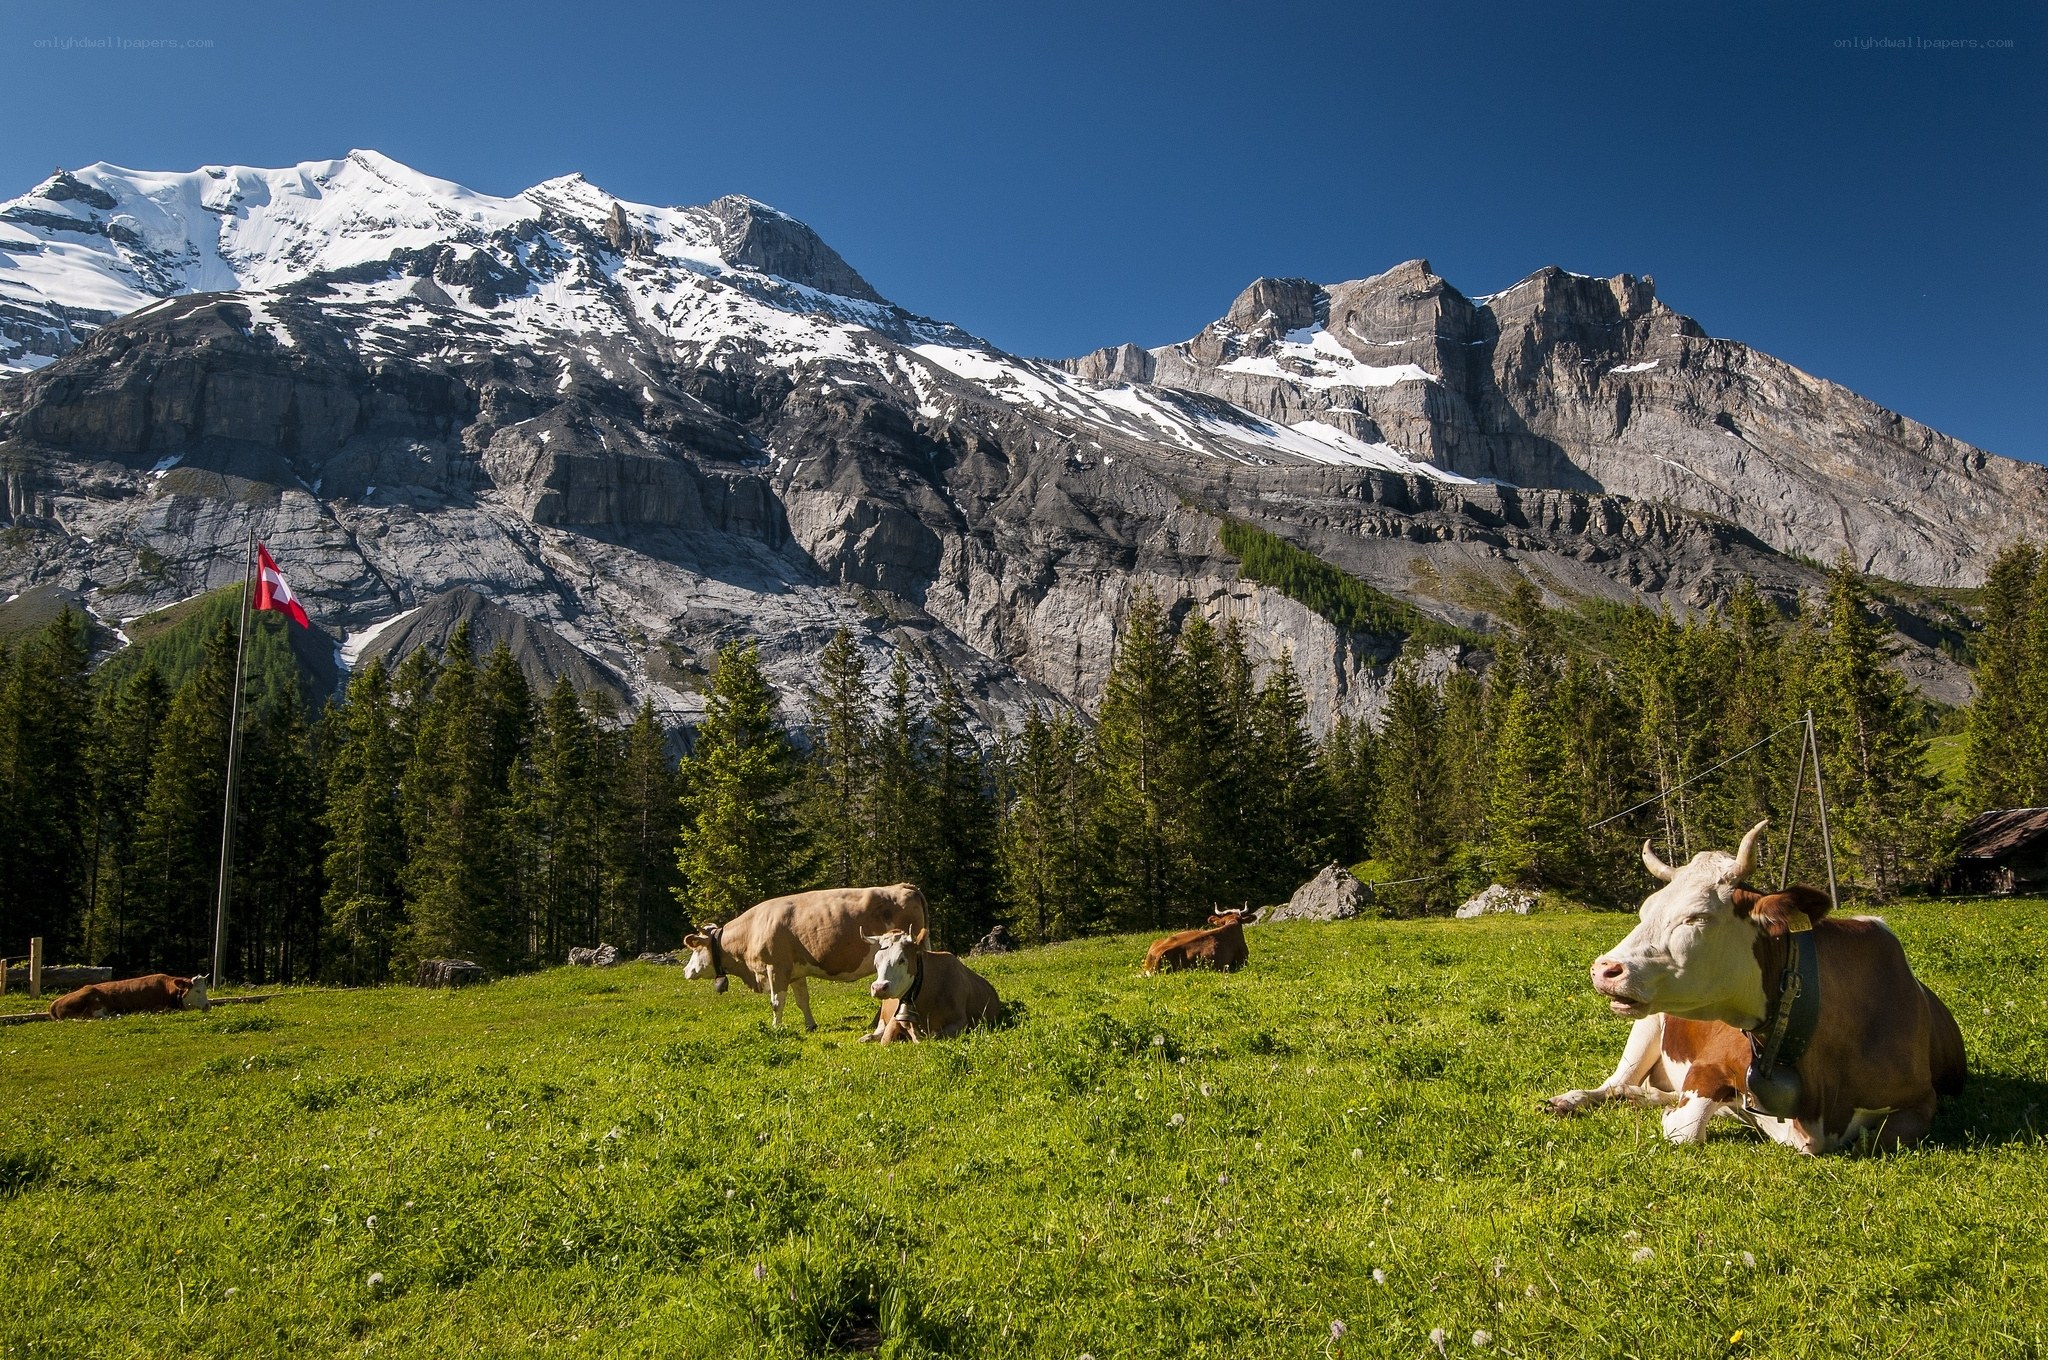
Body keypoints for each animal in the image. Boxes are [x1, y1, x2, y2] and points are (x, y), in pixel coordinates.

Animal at [49, 973, 210, 1020]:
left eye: (205, 989)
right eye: (197, 991)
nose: (208, 1006)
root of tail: (54, 1003)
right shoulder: (156, 1007)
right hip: (93, 1001)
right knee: (97, 1015)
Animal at [681, 884, 928, 1031]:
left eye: (695, 949)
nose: (686, 971)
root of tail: (902, 886)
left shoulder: (775, 968)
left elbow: (776, 1002)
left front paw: (776, 1028)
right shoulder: (796, 972)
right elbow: (803, 1000)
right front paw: (810, 1025)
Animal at [859, 928, 1002, 1043]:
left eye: (901, 959)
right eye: (876, 961)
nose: (879, 988)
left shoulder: (960, 1021)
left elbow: (934, 1035)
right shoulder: (895, 1019)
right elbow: (885, 1039)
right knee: (878, 1032)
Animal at [1547, 821, 1967, 1154]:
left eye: (1698, 917)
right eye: (1645, 910)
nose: (1604, 969)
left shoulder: (1922, 1099)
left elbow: (1880, 1138)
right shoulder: (1710, 1065)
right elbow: (1685, 1128)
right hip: (1646, 1027)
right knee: (1613, 1084)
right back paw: (1570, 1099)